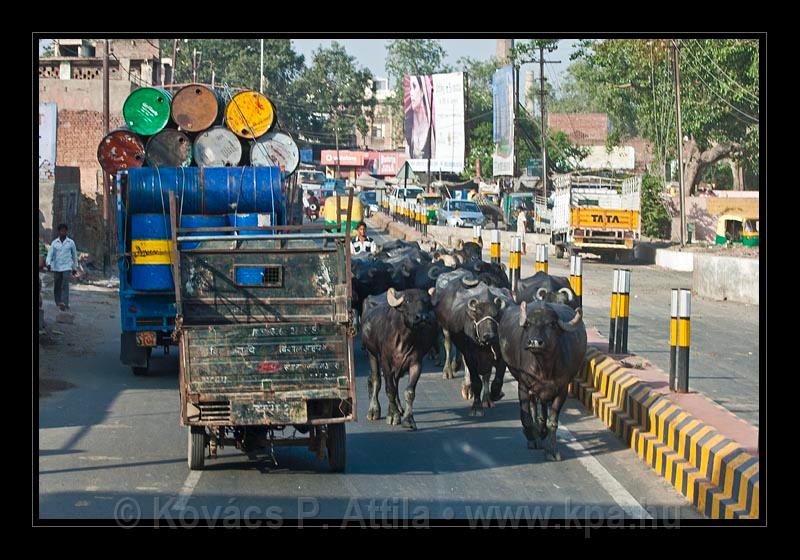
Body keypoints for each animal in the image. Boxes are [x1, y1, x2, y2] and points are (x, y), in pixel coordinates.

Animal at [360, 286, 438, 430]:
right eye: (407, 301)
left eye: (426, 302)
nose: (422, 317)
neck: (404, 340)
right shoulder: (385, 363)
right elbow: (389, 389)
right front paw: (394, 416)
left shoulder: (416, 363)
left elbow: (409, 391)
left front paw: (408, 419)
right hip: (371, 353)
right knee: (375, 379)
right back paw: (374, 410)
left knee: (395, 383)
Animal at [500, 300, 588, 462]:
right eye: (528, 323)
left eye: (552, 324)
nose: (535, 342)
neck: (544, 369)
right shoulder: (523, 385)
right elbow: (526, 417)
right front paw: (531, 437)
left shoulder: (561, 391)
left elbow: (552, 422)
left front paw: (552, 450)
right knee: (534, 408)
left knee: (542, 410)